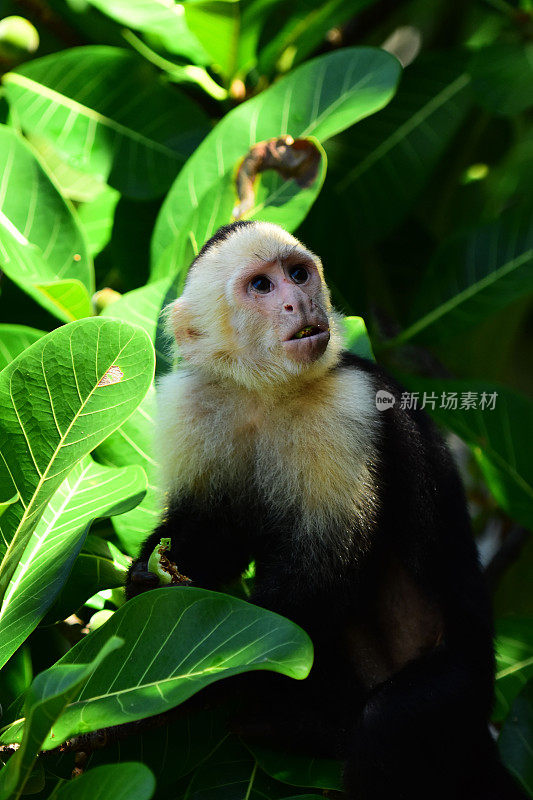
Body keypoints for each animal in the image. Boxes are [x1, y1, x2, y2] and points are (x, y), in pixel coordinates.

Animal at [127, 219, 524, 800]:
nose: (299, 302)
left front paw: (212, 673)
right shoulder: (193, 401)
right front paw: (150, 575)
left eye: (297, 274)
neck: (265, 390)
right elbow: (213, 536)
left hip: (462, 689)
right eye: (261, 286)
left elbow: (323, 575)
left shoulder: (346, 408)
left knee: (386, 725)